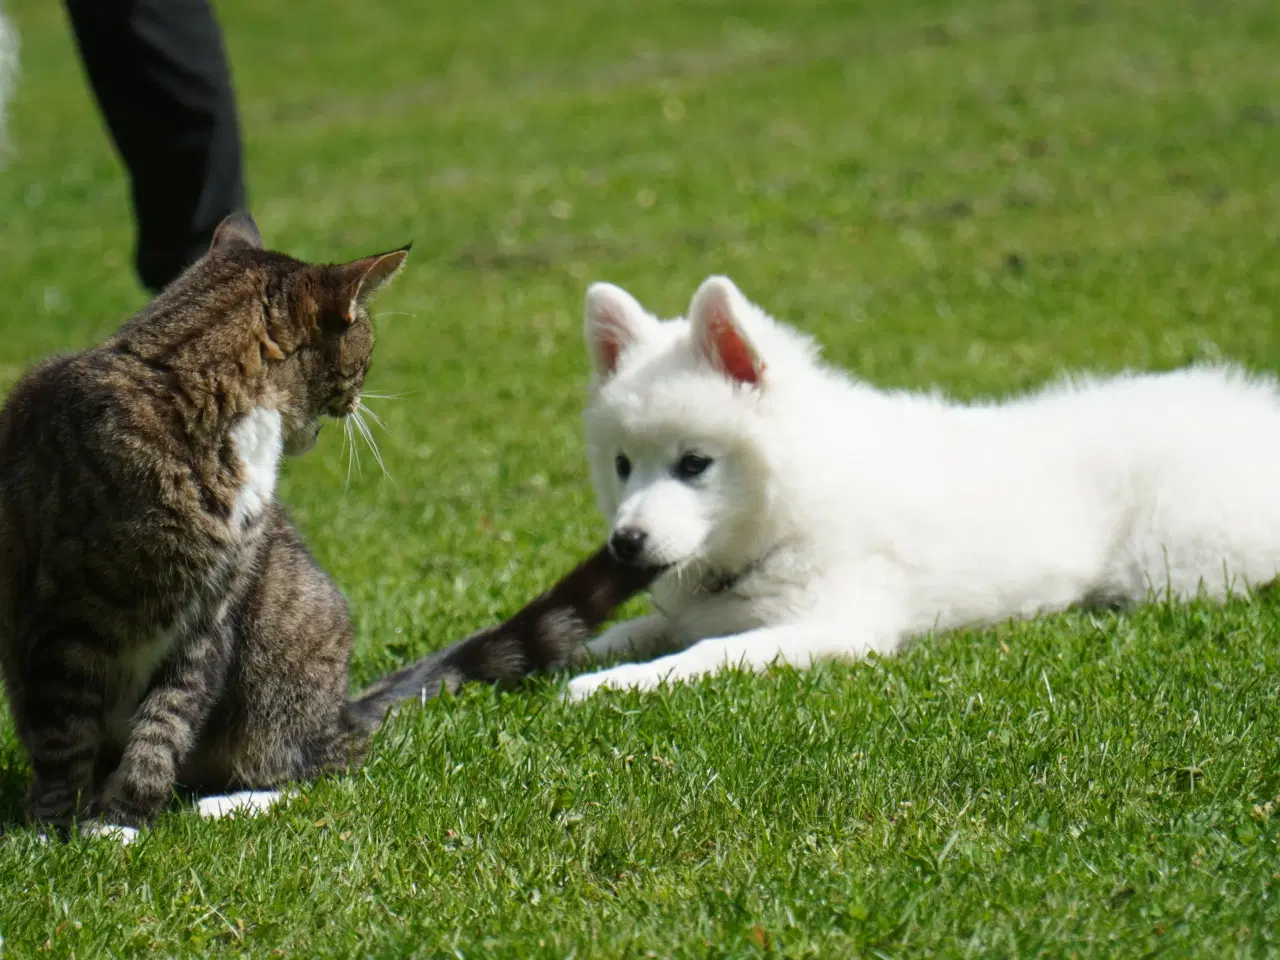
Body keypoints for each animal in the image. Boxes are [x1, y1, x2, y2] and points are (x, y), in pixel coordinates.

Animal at [0, 213, 645, 839]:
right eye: (365, 353)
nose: (360, 401)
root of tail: (340, 709)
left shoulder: (213, 615)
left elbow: (166, 723)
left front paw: (121, 824)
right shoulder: (65, 610)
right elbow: (64, 733)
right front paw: (53, 830)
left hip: (288, 655)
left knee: (323, 767)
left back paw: (227, 803)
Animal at [570, 276, 1280, 701]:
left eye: (694, 464)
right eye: (623, 464)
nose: (625, 544)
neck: (790, 506)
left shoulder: (838, 626)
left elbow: (707, 654)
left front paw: (612, 684)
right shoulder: (693, 608)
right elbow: (638, 629)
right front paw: (580, 655)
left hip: (1173, 565)